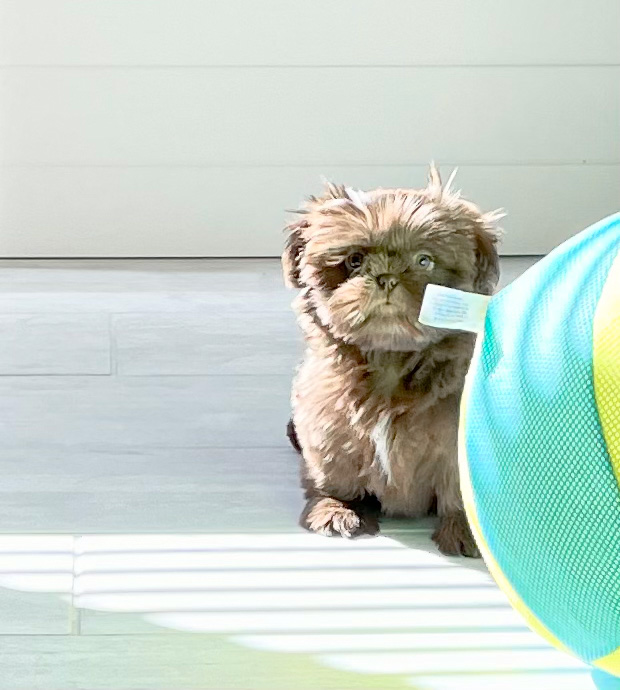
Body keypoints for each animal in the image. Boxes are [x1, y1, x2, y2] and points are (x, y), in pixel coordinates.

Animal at [284, 168, 502, 560]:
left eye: (424, 261)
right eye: (354, 260)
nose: (386, 278)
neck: (390, 360)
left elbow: (457, 484)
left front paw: (463, 528)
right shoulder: (327, 425)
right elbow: (335, 471)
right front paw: (337, 508)